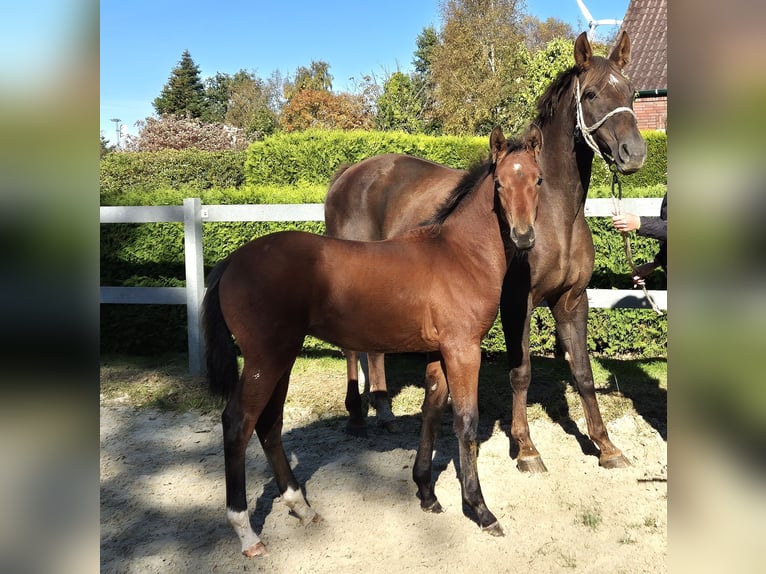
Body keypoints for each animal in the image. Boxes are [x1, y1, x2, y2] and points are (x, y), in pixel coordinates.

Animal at [201, 126, 544, 560]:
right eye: (499, 183)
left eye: (538, 180)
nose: (524, 237)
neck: (458, 255)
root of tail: (231, 261)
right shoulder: (463, 349)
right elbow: (465, 422)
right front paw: (480, 511)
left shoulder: (439, 350)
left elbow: (432, 411)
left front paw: (427, 494)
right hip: (265, 359)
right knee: (238, 424)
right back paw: (247, 533)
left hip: (282, 357)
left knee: (269, 424)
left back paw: (301, 506)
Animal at [326, 31, 648, 472]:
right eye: (592, 93)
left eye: (632, 92)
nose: (635, 153)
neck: (555, 216)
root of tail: (349, 174)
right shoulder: (517, 303)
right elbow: (521, 372)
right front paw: (526, 449)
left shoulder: (572, 301)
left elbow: (583, 373)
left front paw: (606, 446)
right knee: (352, 348)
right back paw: (358, 417)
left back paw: (384, 412)